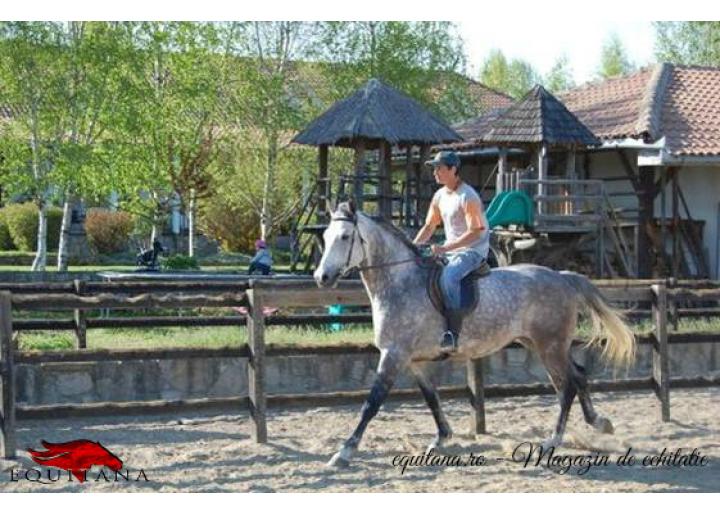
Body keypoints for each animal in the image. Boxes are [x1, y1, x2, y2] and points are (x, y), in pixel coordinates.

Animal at [316, 200, 636, 464]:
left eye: (345, 237)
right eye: (325, 237)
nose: (322, 277)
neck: (400, 282)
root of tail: (562, 277)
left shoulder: (394, 355)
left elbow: (371, 403)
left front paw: (344, 452)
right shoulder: (414, 361)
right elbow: (431, 399)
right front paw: (441, 438)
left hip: (550, 346)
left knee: (567, 385)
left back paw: (552, 440)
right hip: (541, 344)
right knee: (576, 376)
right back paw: (599, 422)